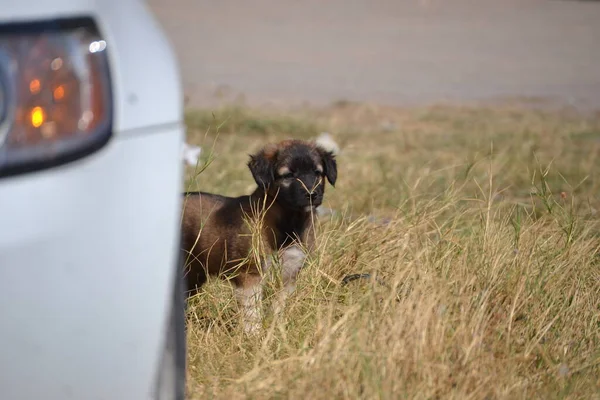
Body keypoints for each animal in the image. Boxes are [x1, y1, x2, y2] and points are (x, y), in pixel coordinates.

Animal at [180, 139, 336, 332]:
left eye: (317, 173)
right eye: (289, 175)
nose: (311, 194)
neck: (289, 220)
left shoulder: (289, 273)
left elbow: (278, 305)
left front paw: (276, 330)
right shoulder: (250, 273)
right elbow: (252, 311)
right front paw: (253, 335)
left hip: (193, 274)